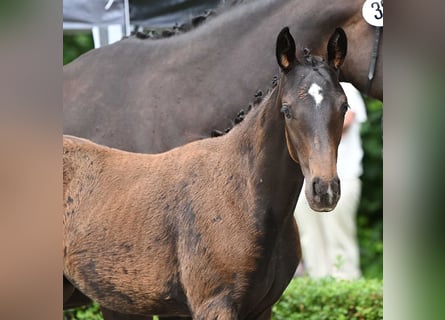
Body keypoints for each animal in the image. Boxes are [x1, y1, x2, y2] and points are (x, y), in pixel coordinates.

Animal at [62, 28, 346, 320]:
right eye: (287, 110)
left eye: (344, 106)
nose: (324, 190)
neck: (243, 193)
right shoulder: (215, 305)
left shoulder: (261, 308)